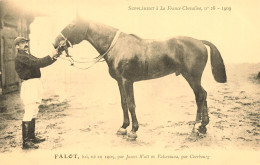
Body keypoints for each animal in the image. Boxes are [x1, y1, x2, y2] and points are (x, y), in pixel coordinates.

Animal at [52, 17, 225, 140]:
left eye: (72, 25)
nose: (55, 43)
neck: (118, 47)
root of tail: (200, 42)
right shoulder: (120, 82)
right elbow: (123, 103)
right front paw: (123, 127)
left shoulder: (127, 81)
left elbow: (131, 104)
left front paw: (133, 130)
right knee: (204, 94)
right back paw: (203, 126)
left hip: (192, 77)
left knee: (200, 96)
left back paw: (195, 128)